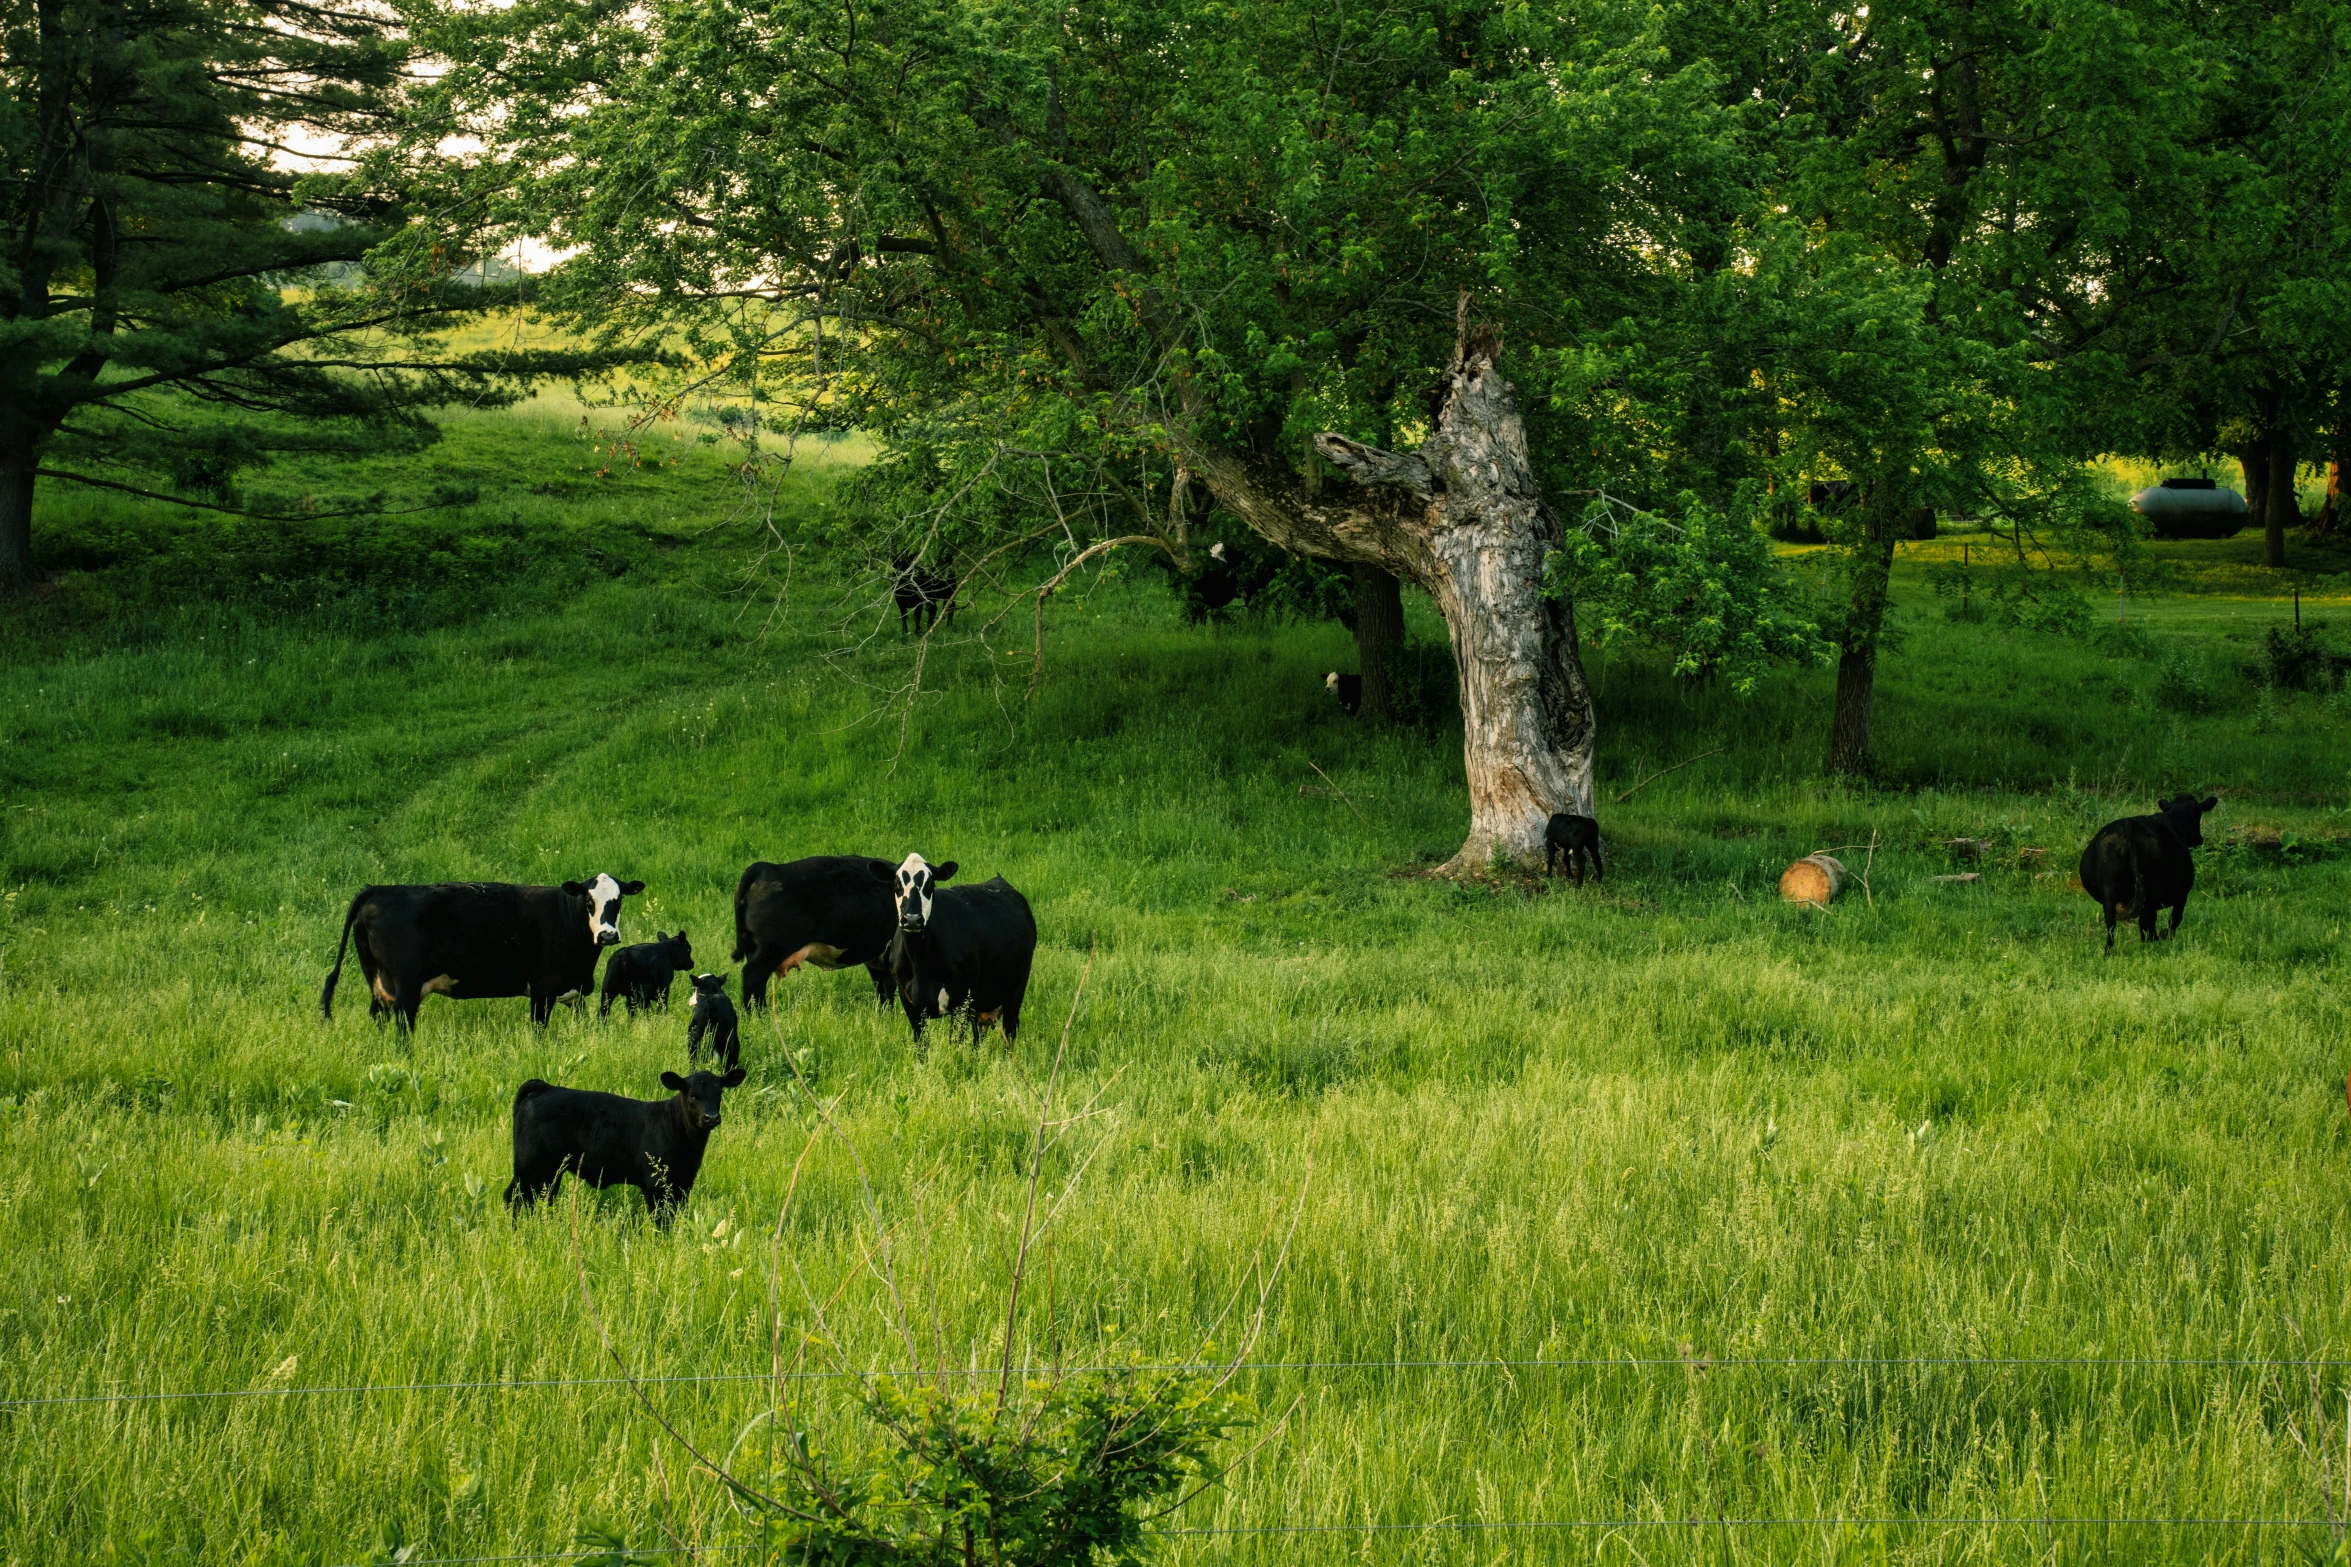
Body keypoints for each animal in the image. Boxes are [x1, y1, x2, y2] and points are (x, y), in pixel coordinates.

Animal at [322, 878, 648, 1033]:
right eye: (589, 900)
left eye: (618, 900)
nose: (607, 935)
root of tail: (378, 889)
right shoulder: (542, 991)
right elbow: (539, 1031)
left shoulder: (575, 994)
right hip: (405, 988)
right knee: (404, 1025)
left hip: (378, 983)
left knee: (378, 1016)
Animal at [505, 1066, 742, 1221]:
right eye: (692, 1095)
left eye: (719, 1093)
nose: (711, 1118)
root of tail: (544, 1087)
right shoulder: (655, 1184)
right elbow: (660, 1221)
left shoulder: (683, 1184)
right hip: (529, 1166)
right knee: (514, 1197)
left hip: (551, 1171)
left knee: (542, 1197)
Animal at [724, 859, 898, 1005]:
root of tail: (765, 867)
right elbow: (890, 985)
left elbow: (882, 988)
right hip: (772, 948)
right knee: (753, 976)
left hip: (753, 947)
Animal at [879, 850, 1034, 1047]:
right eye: (897, 884)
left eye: (930, 884)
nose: (912, 919)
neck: (919, 961)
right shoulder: (909, 1001)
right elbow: (922, 1045)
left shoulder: (961, 1000)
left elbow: (955, 1044)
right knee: (978, 1039)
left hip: (1016, 989)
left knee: (1009, 1031)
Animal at [2078, 789, 2219, 949]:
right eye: (2199, 814)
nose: (2199, 839)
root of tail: (2128, 825)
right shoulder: (2183, 893)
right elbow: (2175, 918)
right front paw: (2167, 937)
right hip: (2151, 891)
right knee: (2147, 920)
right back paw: (2152, 943)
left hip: (2109, 889)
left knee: (2111, 923)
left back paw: (2110, 950)